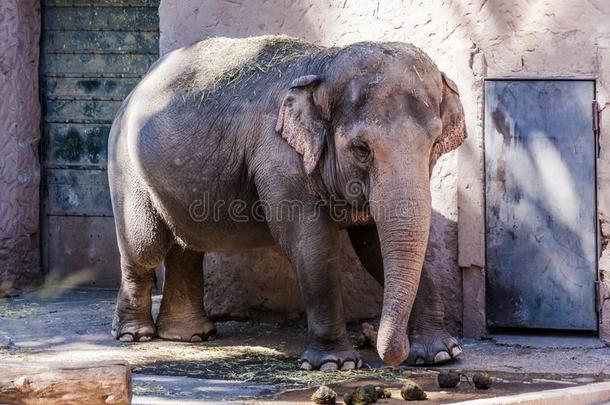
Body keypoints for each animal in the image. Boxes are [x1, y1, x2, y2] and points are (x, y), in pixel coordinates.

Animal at [107, 34, 466, 370]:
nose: (380, 344)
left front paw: (440, 354)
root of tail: (137, 86)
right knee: (145, 248)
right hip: (126, 168)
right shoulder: (280, 160)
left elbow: (374, 245)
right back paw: (135, 334)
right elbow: (310, 245)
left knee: (187, 245)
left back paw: (190, 335)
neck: (324, 66)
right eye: (361, 148)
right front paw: (335, 364)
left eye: (435, 143)